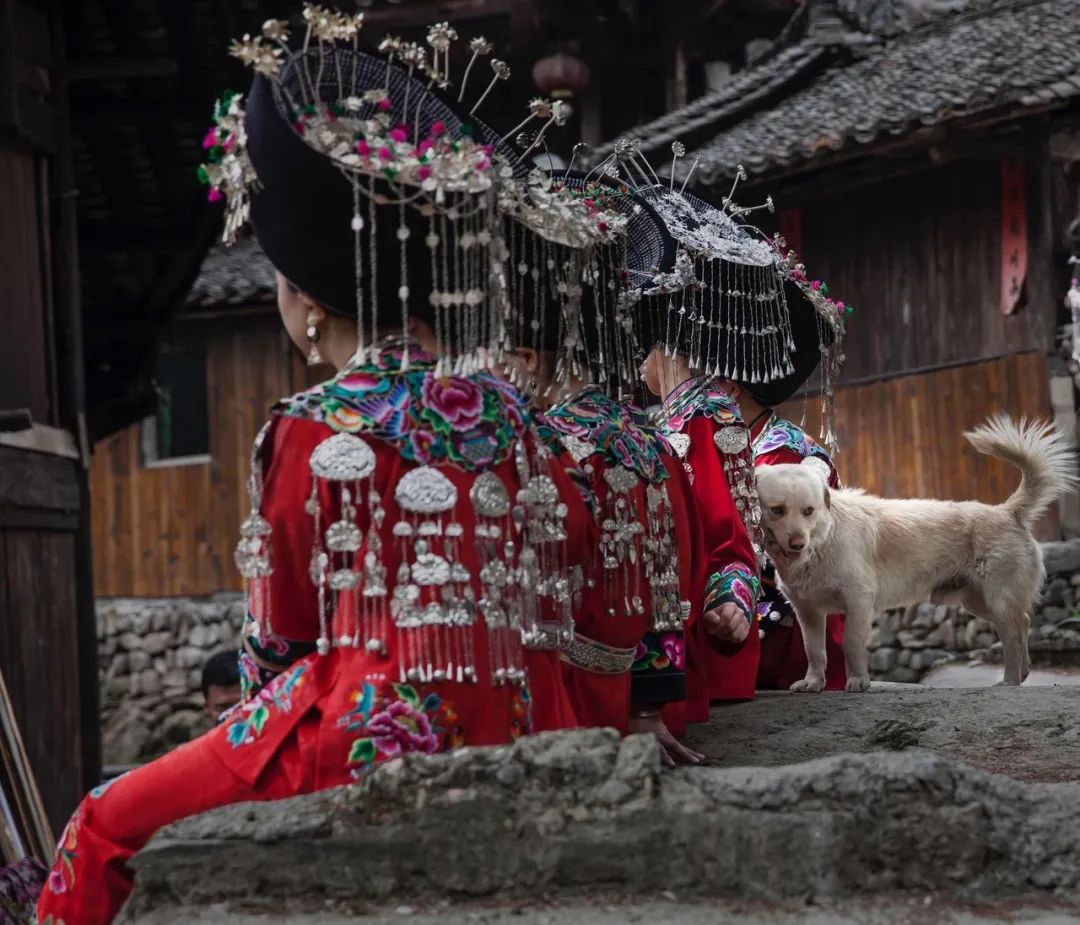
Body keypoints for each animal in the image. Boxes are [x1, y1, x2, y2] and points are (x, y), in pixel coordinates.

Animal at [756, 414, 1075, 691]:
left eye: (808, 511)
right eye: (777, 510)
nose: (797, 544)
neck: (823, 539)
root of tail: (1008, 511)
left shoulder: (858, 599)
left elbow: (851, 643)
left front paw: (858, 681)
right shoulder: (808, 612)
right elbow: (814, 651)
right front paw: (813, 683)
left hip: (998, 599)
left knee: (1012, 636)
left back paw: (1009, 680)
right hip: (978, 601)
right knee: (1024, 621)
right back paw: (1023, 671)